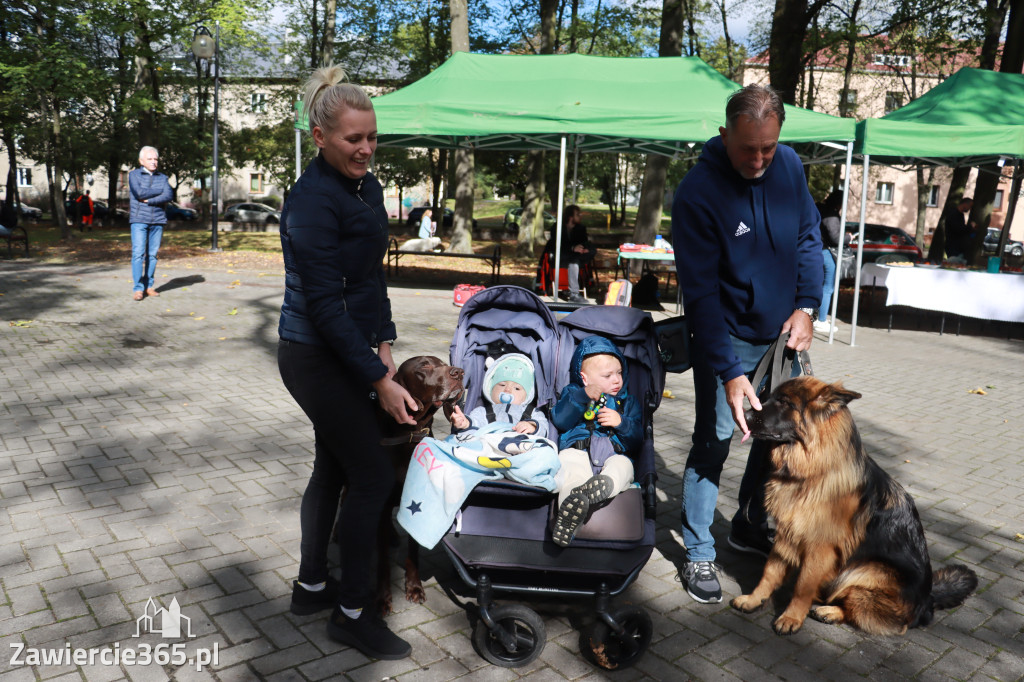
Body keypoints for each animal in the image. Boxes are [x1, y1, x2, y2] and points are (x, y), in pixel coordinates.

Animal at [729, 374, 974, 634]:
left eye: (785, 402)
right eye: (770, 396)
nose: (743, 415)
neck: (812, 471)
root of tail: (928, 600)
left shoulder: (820, 548)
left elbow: (803, 586)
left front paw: (792, 616)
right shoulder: (787, 535)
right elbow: (769, 572)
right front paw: (754, 599)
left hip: (865, 569)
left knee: (872, 612)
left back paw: (831, 611)